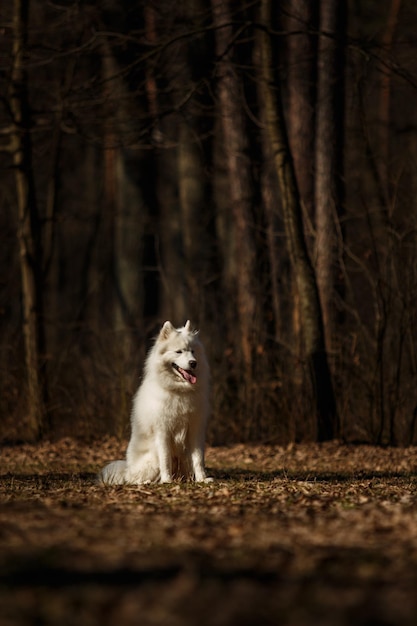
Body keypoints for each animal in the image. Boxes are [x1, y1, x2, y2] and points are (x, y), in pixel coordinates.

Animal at [98, 320, 211, 486]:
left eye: (193, 351)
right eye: (179, 352)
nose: (193, 363)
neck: (179, 391)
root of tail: (127, 469)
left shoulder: (195, 429)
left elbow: (198, 458)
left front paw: (202, 479)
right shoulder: (162, 431)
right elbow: (165, 459)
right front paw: (167, 480)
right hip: (151, 459)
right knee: (134, 479)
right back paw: (147, 482)